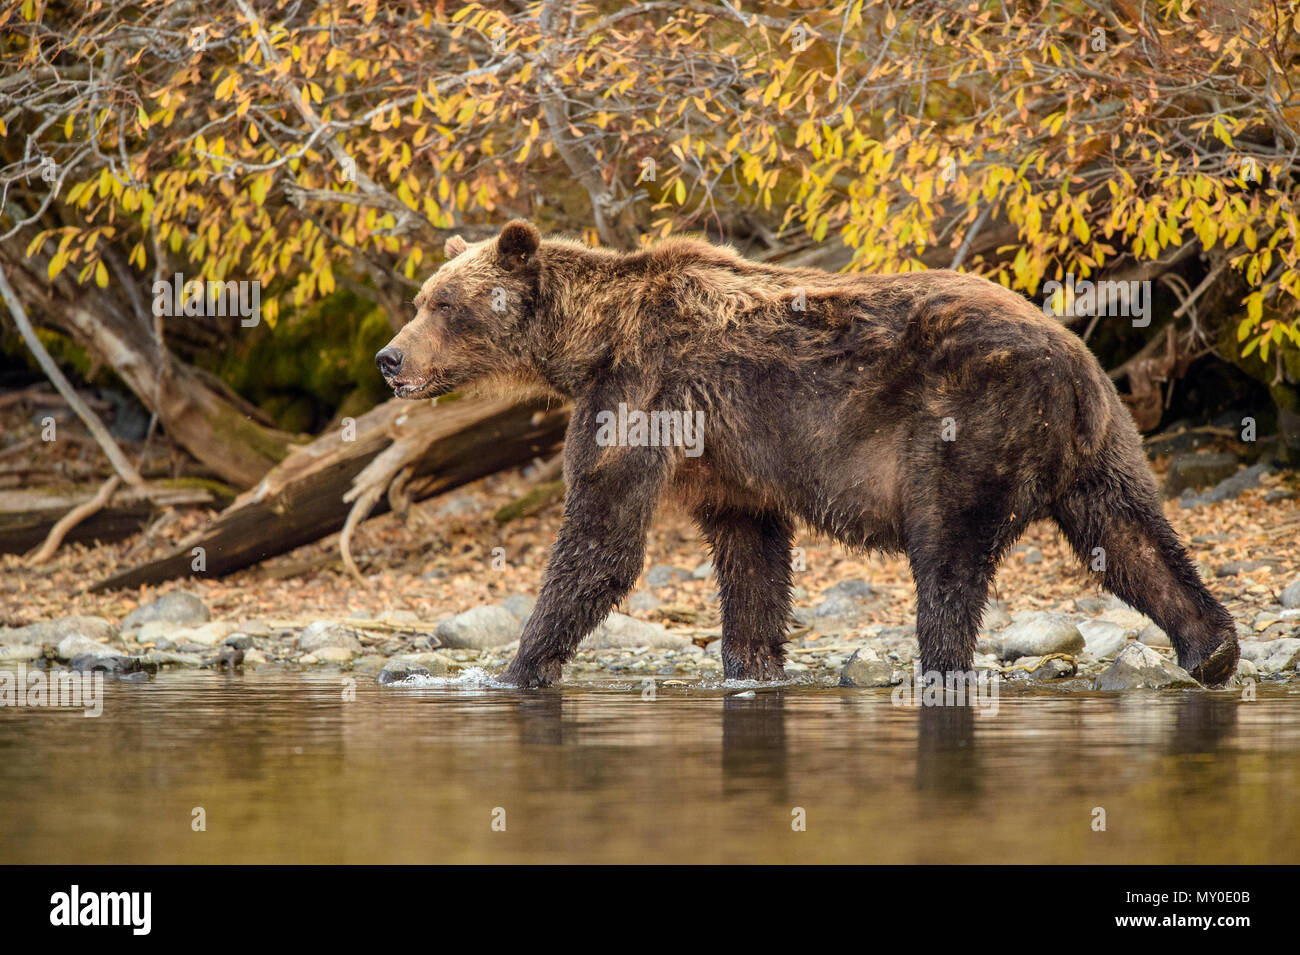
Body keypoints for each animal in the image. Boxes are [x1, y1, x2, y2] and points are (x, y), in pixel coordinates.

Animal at [374, 220, 1237, 691]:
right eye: (421, 299)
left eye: (443, 303)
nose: (388, 357)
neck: (589, 344)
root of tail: (1071, 356)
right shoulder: (719, 457)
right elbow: (751, 556)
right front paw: (753, 666)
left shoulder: (643, 393)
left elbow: (601, 538)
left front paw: (513, 669)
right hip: (1101, 443)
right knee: (1132, 537)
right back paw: (1212, 648)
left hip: (966, 427)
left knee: (948, 559)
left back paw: (940, 665)